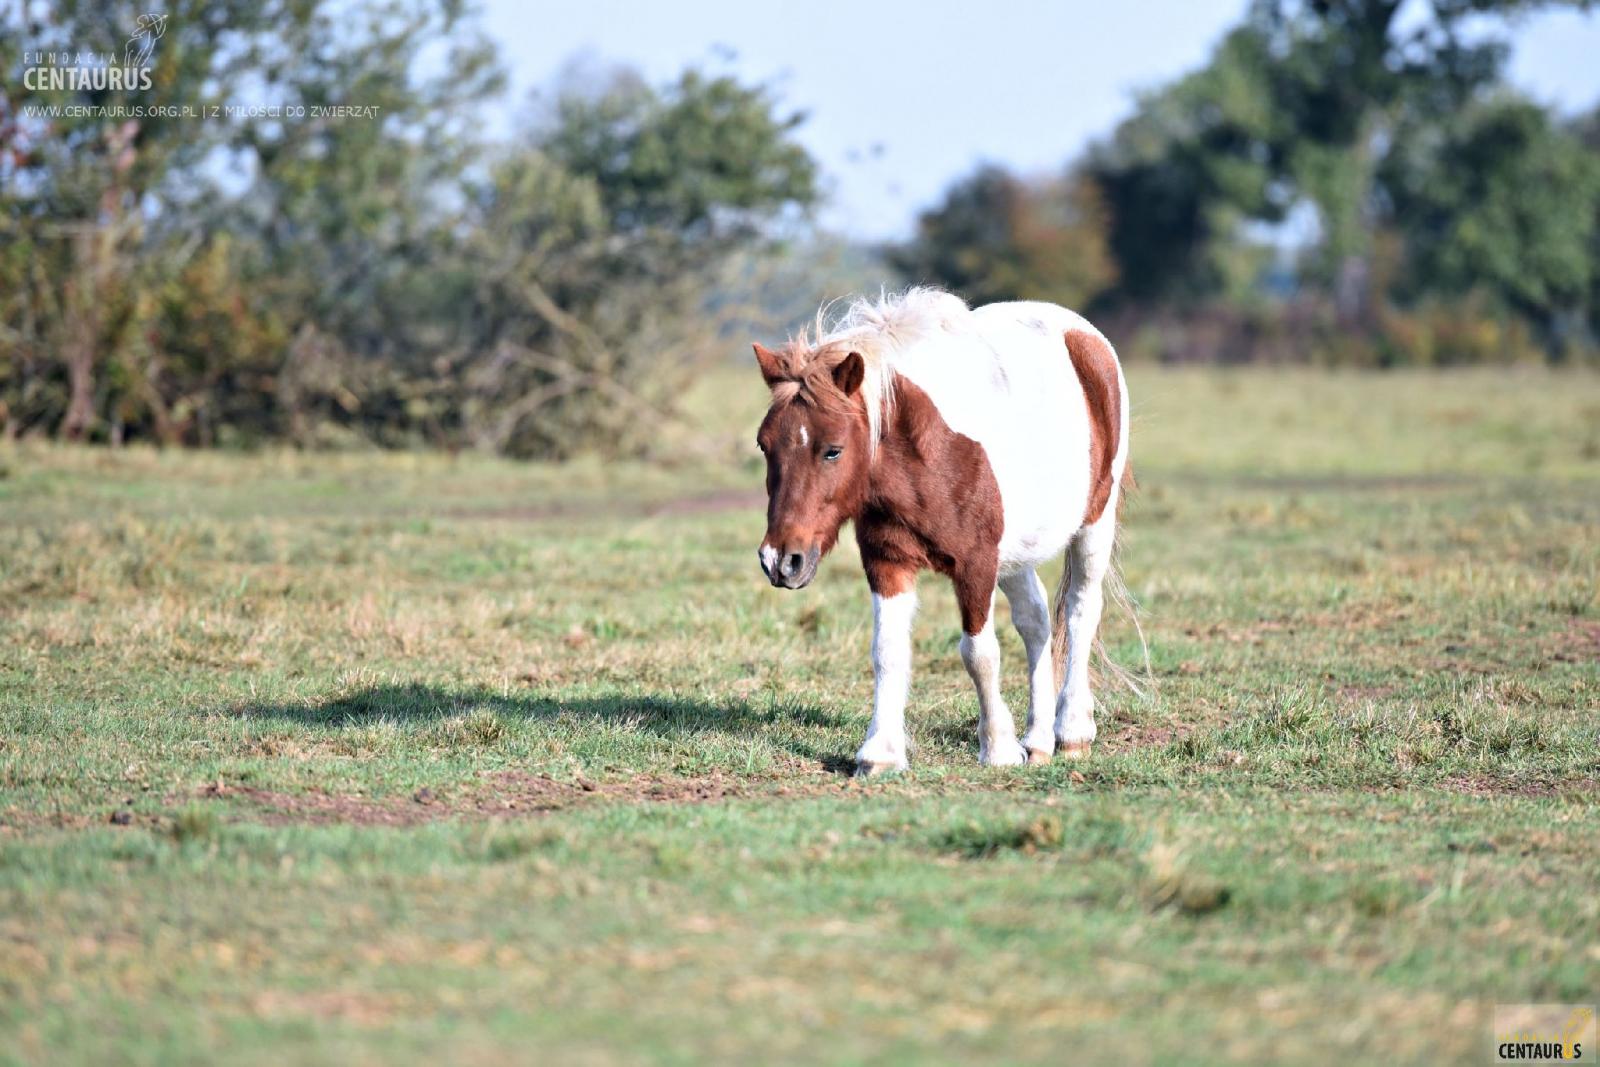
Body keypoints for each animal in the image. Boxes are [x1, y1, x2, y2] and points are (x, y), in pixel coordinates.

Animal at [752, 288, 1133, 775]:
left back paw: (1071, 732)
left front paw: (997, 748)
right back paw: (1038, 739)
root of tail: (1084, 336)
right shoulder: (888, 562)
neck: (927, 450)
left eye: (832, 450)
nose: (782, 560)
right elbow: (887, 651)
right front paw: (880, 752)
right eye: (765, 445)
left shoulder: (976, 564)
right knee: (1036, 622)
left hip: (1092, 526)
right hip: (1016, 554)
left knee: (1082, 612)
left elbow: (979, 653)